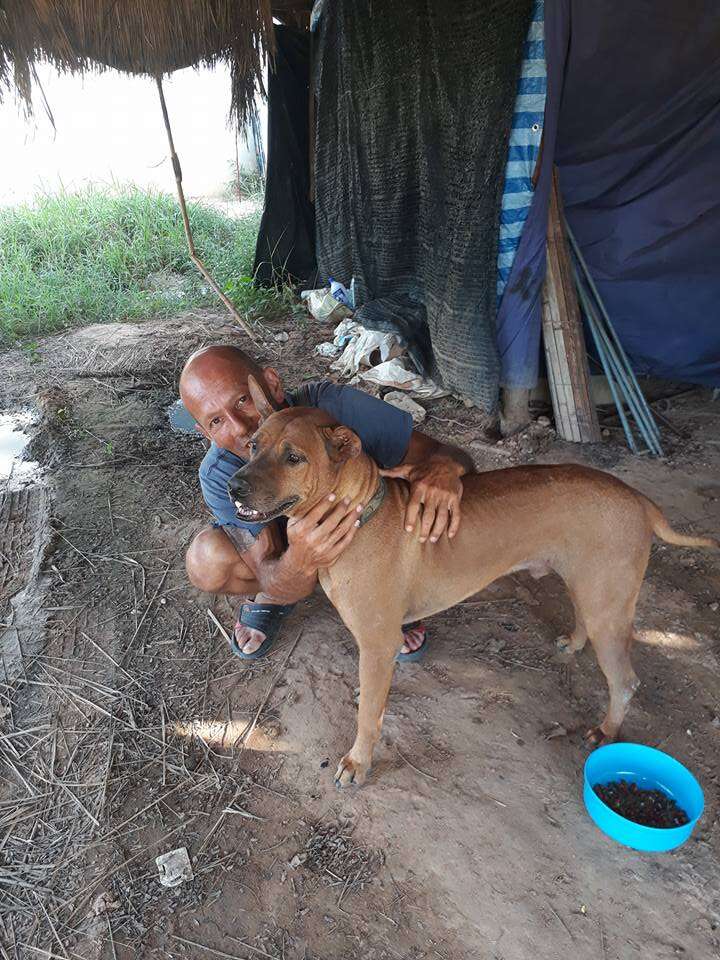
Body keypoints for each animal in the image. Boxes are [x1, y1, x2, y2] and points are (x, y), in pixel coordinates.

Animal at [229, 382, 716, 788]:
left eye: (294, 458)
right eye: (253, 445)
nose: (234, 485)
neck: (358, 514)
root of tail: (639, 499)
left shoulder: (378, 642)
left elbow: (368, 717)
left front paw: (358, 762)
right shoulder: (377, 647)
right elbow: (373, 696)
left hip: (608, 605)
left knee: (626, 682)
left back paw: (608, 729)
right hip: (589, 587)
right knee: (585, 620)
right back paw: (574, 643)